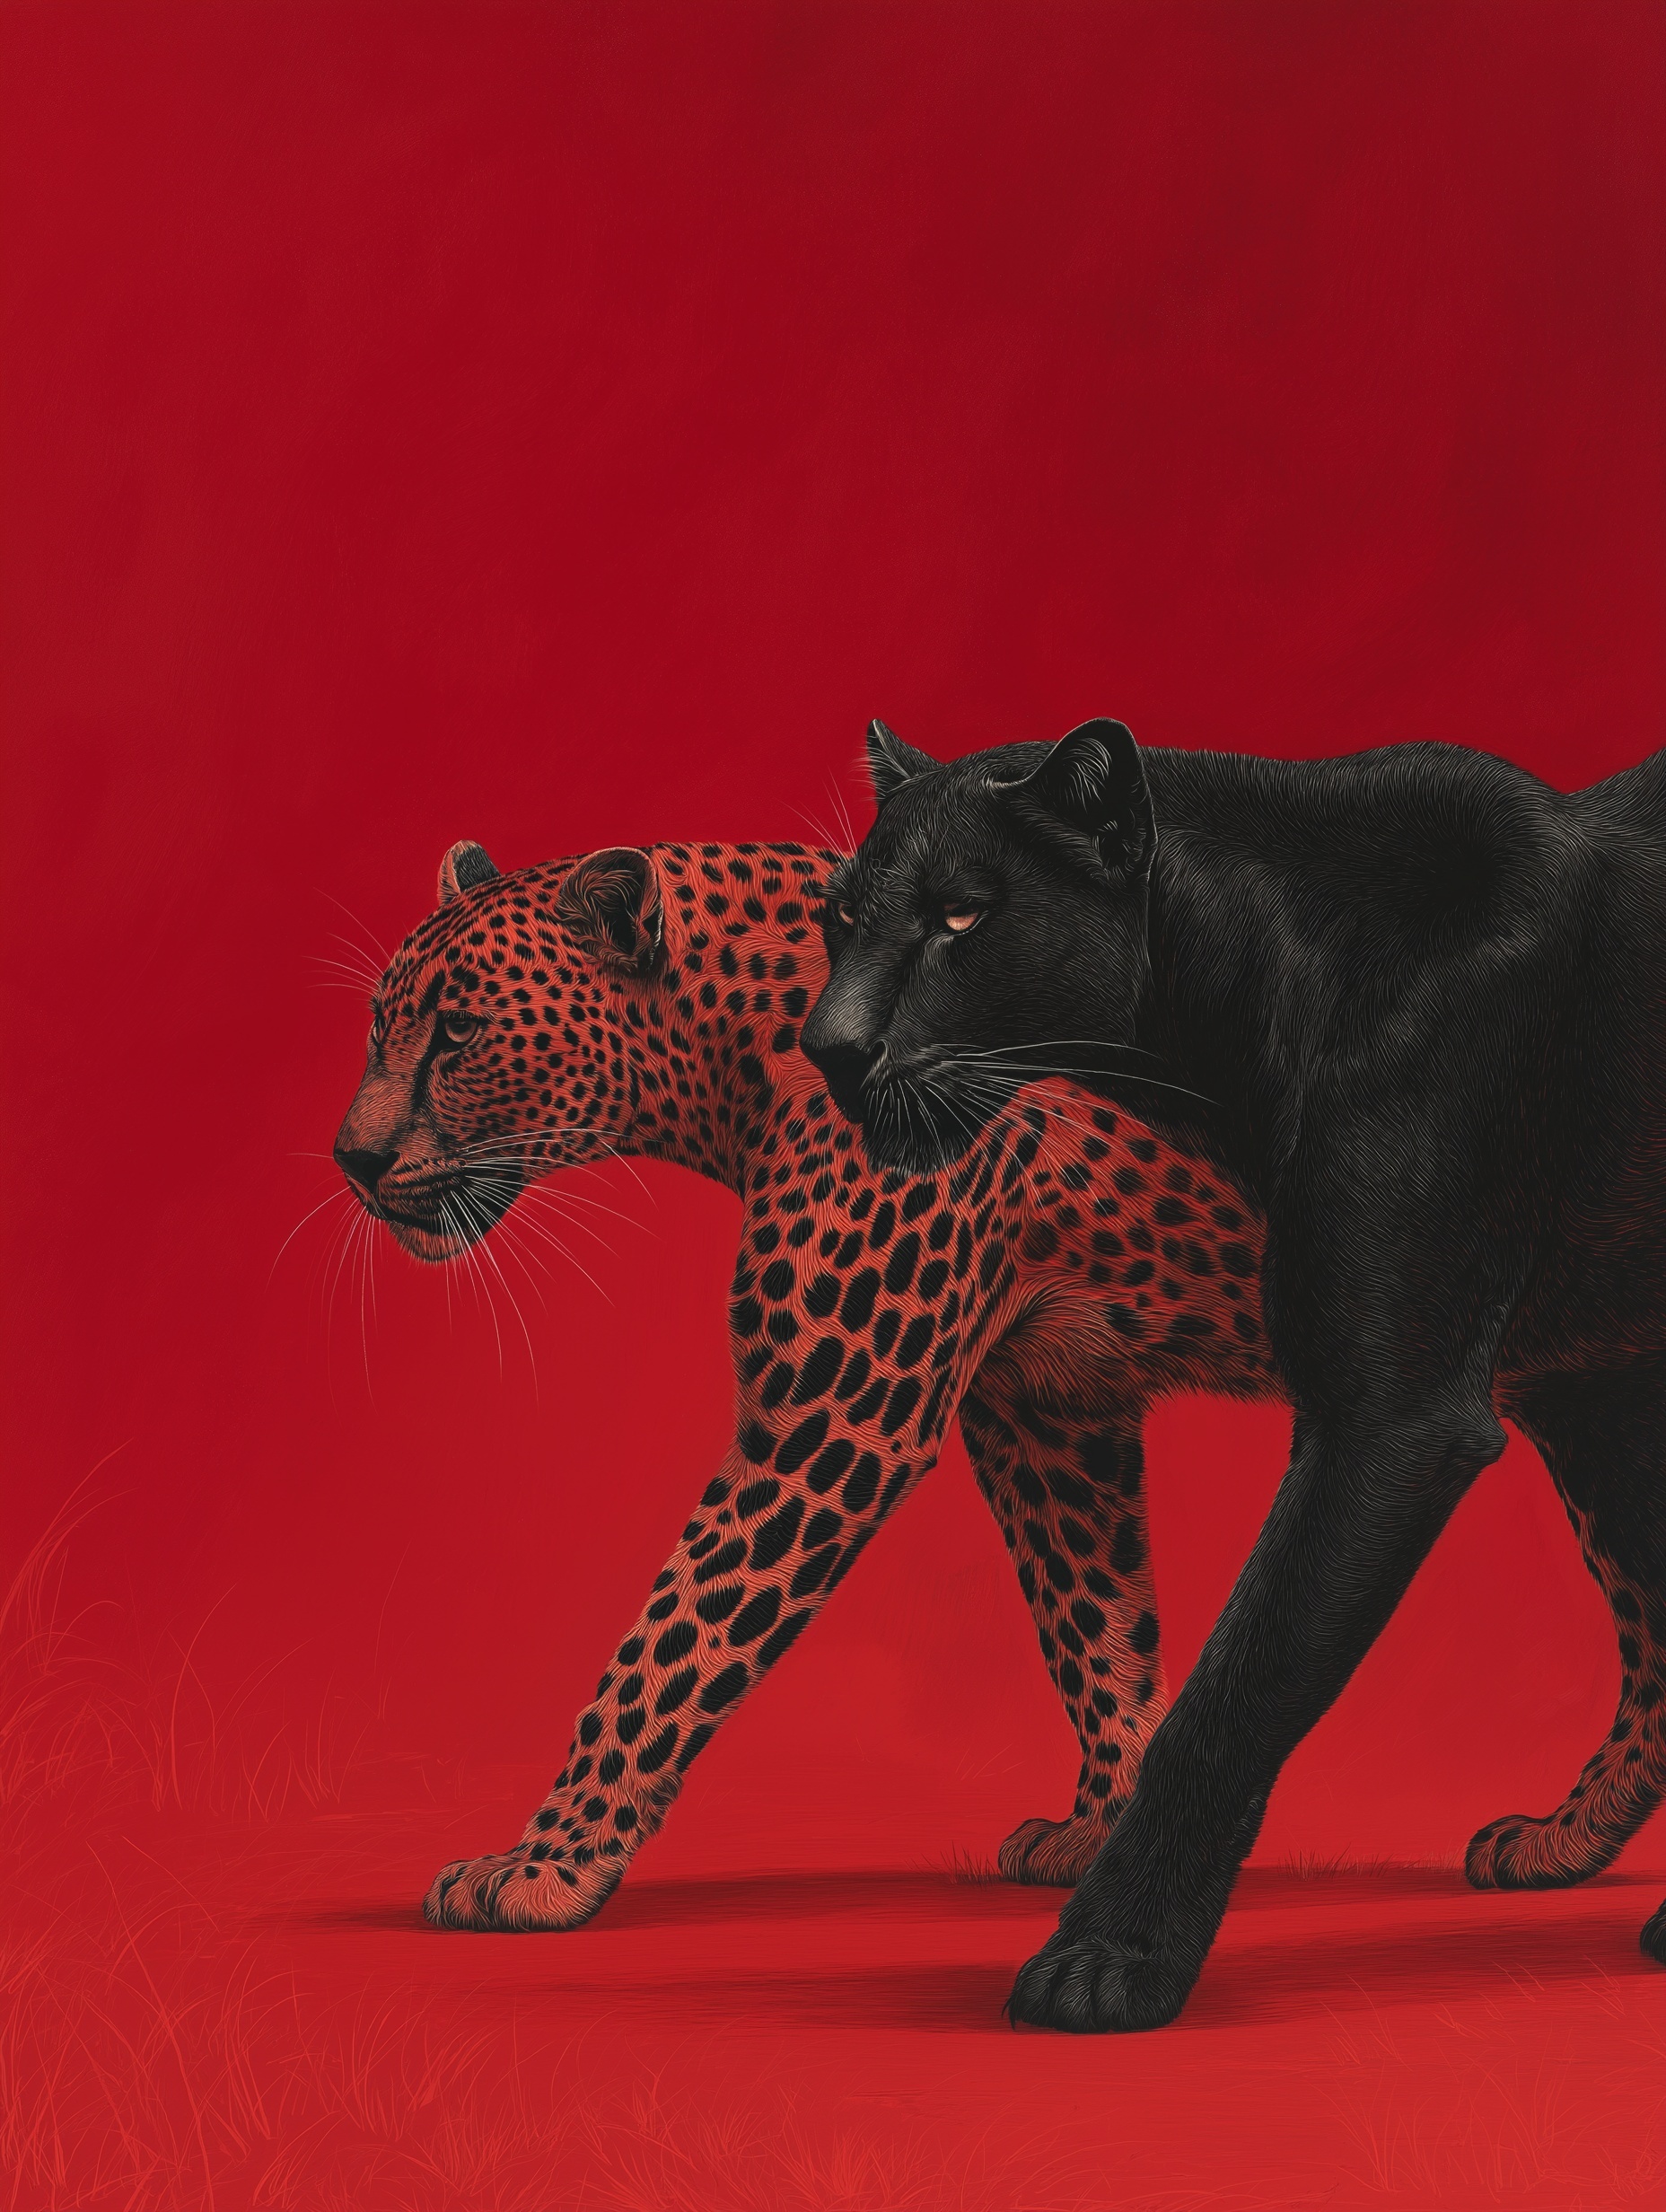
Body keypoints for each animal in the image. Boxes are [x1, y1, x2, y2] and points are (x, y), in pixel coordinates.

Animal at [333, 834, 1283, 1930]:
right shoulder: (1050, 1410)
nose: (350, 1160)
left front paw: (546, 1862)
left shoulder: (831, 1424)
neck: (734, 1066)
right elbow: (1094, 1620)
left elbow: (668, 1643)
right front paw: (1108, 1822)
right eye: (377, 1024)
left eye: (459, 1032)